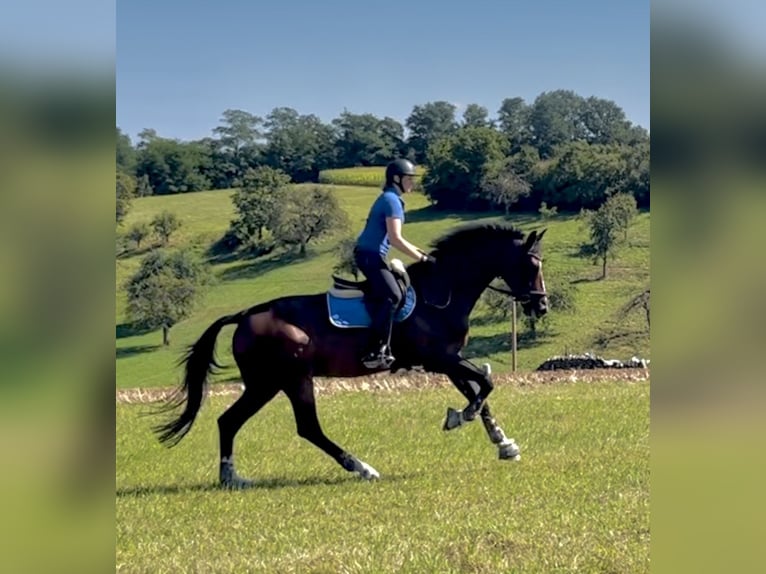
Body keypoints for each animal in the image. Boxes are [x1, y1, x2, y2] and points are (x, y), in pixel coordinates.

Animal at [153, 223, 548, 488]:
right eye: (532, 266)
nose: (541, 306)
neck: (442, 291)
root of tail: (246, 314)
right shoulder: (439, 358)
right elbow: (485, 383)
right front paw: (458, 418)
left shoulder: (450, 358)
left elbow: (480, 392)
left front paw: (503, 442)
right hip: (291, 378)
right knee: (307, 427)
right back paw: (361, 467)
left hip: (264, 384)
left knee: (229, 421)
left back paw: (231, 478)